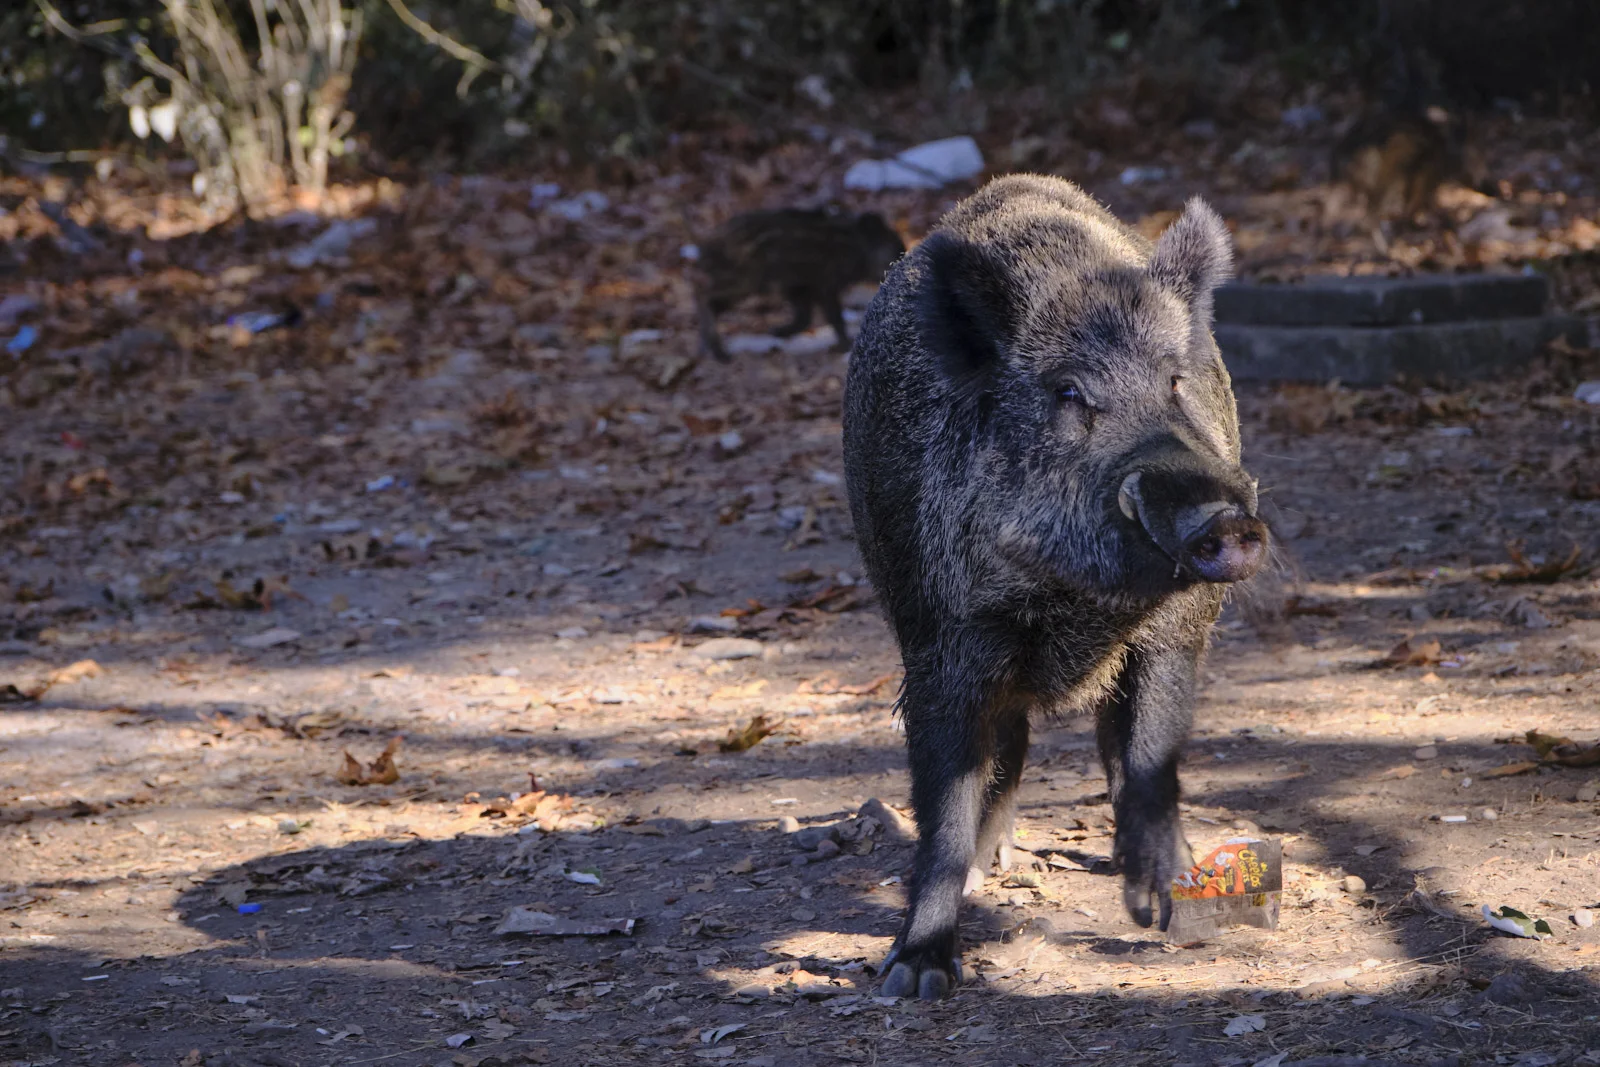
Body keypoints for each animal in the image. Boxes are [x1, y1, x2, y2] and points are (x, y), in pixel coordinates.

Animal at [842, 175, 1267, 1000]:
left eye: (1175, 382)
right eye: (1069, 392)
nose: (1225, 516)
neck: (1076, 604)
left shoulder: (1176, 633)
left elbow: (1152, 755)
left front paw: (1160, 910)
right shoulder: (942, 645)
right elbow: (944, 807)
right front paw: (912, 978)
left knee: (1109, 743)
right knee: (1010, 745)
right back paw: (989, 865)